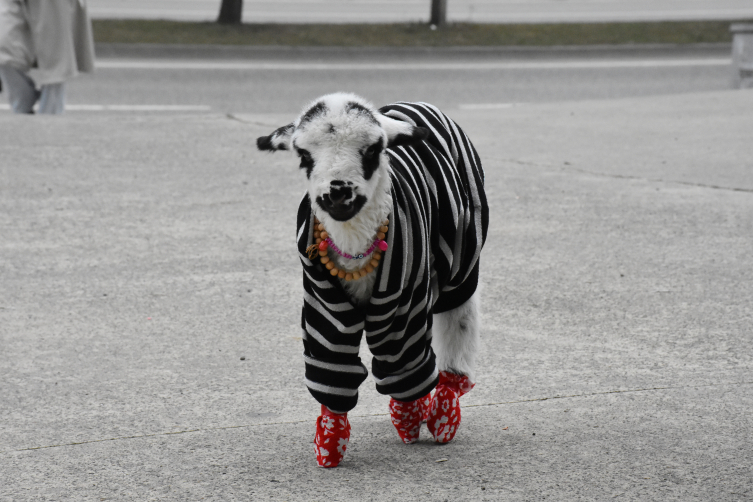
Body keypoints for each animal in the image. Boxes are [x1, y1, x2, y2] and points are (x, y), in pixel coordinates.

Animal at [256, 92, 488, 468]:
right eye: (303, 155)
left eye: (372, 150)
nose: (337, 193)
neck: (354, 249)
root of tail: (413, 103)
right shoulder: (323, 301)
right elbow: (332, 360)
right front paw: (330, 440)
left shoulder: (404, 299)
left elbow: (401, 357)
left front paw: (409, 417)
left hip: (463, 247)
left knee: (459, 314)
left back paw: (446, 405)